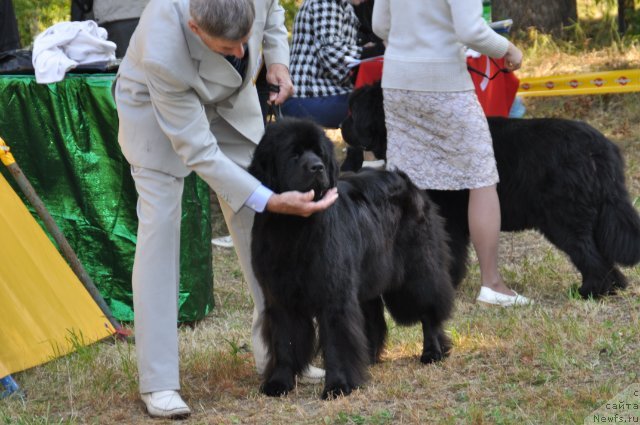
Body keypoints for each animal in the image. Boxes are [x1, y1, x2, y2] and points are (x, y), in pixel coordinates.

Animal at [249, 117, 456, 400]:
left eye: (319, 153)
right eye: (294, 154)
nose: (317, 167)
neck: (293, 227)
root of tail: (406, 180)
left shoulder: (334, 292)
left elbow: (337, 339)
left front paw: (338, 385)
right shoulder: (279, 294)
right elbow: (284, 340)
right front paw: (279, 382)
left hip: (417, 271)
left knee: (428, 308)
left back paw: (432, 351)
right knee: (373, 317)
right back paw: (368, 358)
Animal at [340, 81, 640, 296]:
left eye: (353, 111)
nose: (342, 126)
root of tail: (599, 148)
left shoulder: (448, 219)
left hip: (564, 217)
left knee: (587, 252)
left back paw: (591, 291)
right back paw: (612, 287)